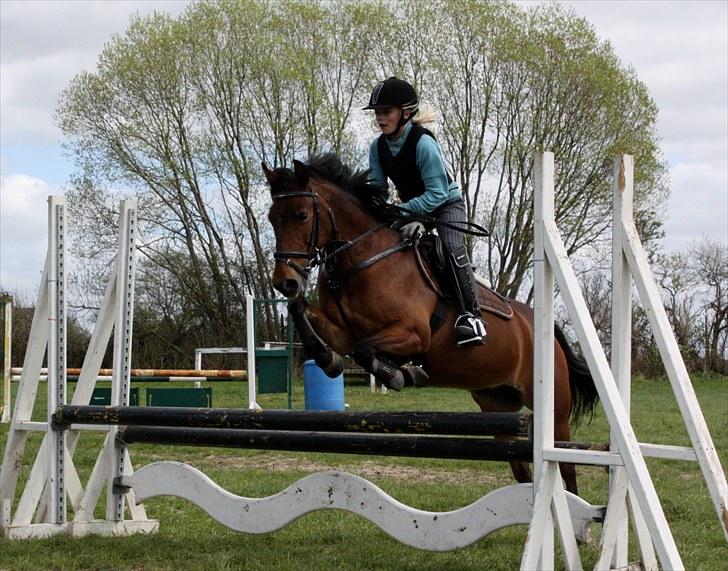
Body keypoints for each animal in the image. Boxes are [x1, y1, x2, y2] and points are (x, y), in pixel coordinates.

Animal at [263, 153, 598, 495]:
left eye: (302, 215)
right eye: (272, 219)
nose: (285, 282)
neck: (358, 261)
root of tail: (546, 329)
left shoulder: (414, 334)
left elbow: (365, 350)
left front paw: (403, 373)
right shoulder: (341, 331)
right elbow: (305, 314)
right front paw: (328, 360)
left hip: (554, 414)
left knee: (567, 471)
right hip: (497, 405)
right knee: (521, 467)